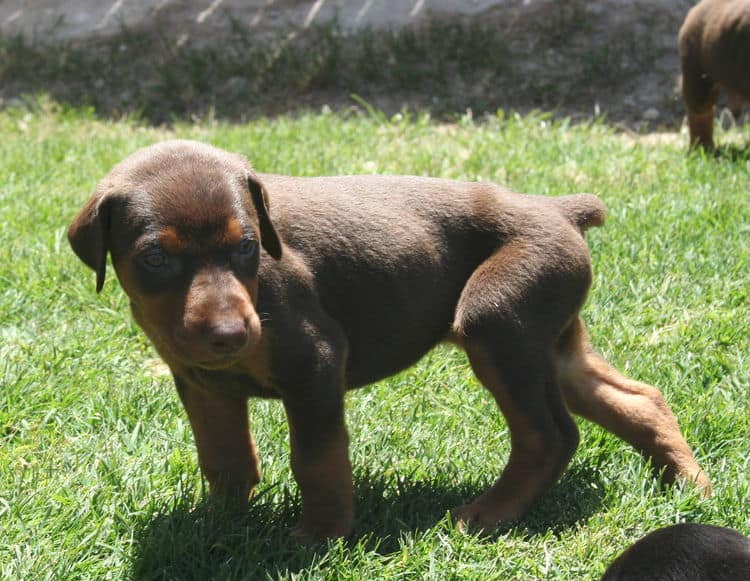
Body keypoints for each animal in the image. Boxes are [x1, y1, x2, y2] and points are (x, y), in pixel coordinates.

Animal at [69, 140, 712, 540]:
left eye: (247, 246)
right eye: (155, 258)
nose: (231, 335)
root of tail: (558, 208)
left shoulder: (315, 363)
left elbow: (317, 458)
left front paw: (318, 537)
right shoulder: (202, 381)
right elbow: (224, 457)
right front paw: (219, 525)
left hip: (498, 319)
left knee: (550, 436)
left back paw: (486, 515)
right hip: (548, 336)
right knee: (638, 399)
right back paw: (691, 483)